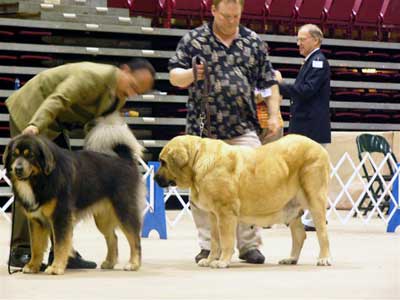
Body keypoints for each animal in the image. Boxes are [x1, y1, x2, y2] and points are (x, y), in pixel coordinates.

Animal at [155, 135, 332, 268]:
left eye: (163, 162)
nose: (155, 178)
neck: (197, 158)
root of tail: (319, 147)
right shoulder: (213, 216)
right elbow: (214, 241)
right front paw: (210, 259)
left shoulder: (225, 213)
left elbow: (226, 240)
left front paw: (222, 262)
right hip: (291, 209)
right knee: (299, 235)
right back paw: (291, 259)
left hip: (315, 200)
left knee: (322, 233)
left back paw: (324, 258)